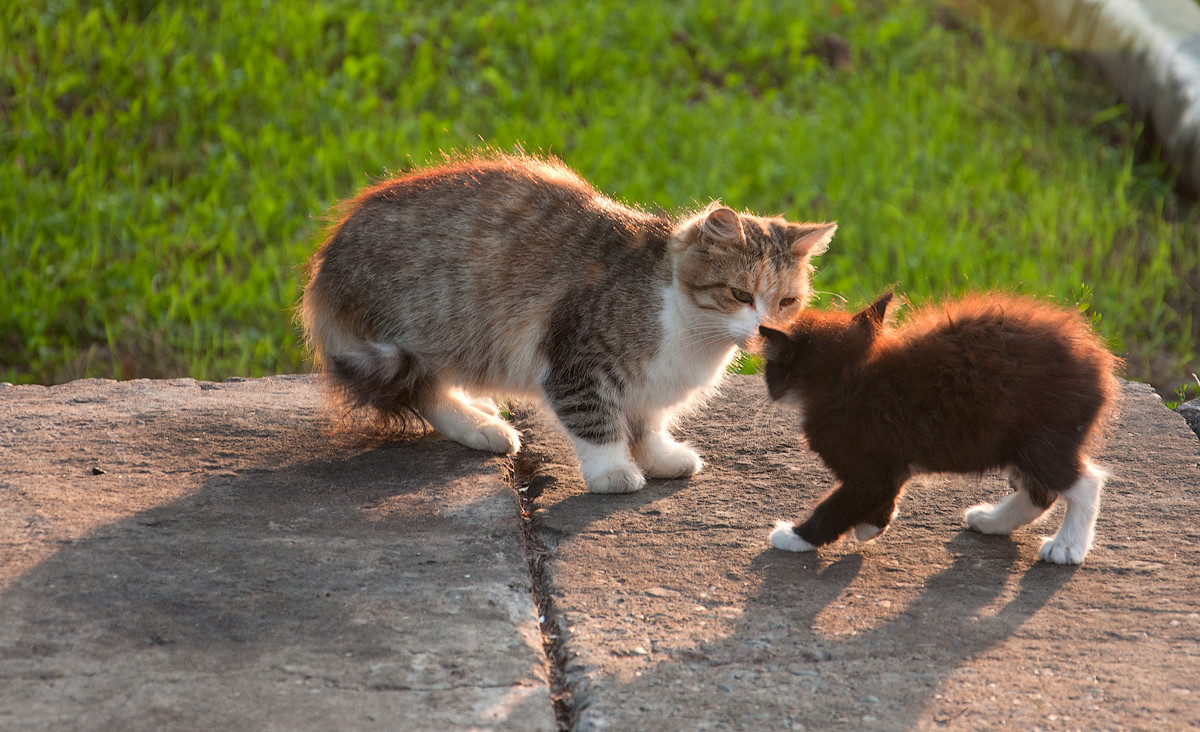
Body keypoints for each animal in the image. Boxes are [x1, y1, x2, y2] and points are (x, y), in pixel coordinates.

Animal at [302, 154, 835, 496]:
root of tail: (325, 264)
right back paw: (481, 427)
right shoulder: (577, 360)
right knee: (425, 389)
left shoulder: (647, 386)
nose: (766, 330)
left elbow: (646, 423)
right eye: (741, 295)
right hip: (426, 331)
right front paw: (613, 471)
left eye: (787, 302)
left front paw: (658, 456)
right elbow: (598, 421)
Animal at [763, 290, 1118, 564]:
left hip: (1040, 437)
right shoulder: (890, 464)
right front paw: (872, 527)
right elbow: (880, 499)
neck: (845, 378)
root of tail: (1099, 362)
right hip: (1014, 439)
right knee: (1040, 491)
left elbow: (838, 505)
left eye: (769, 366)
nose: (767, 383)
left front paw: (794, 537)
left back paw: (1067, 546)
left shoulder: (868, 465)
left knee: (1083, 482)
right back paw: (992, 521)